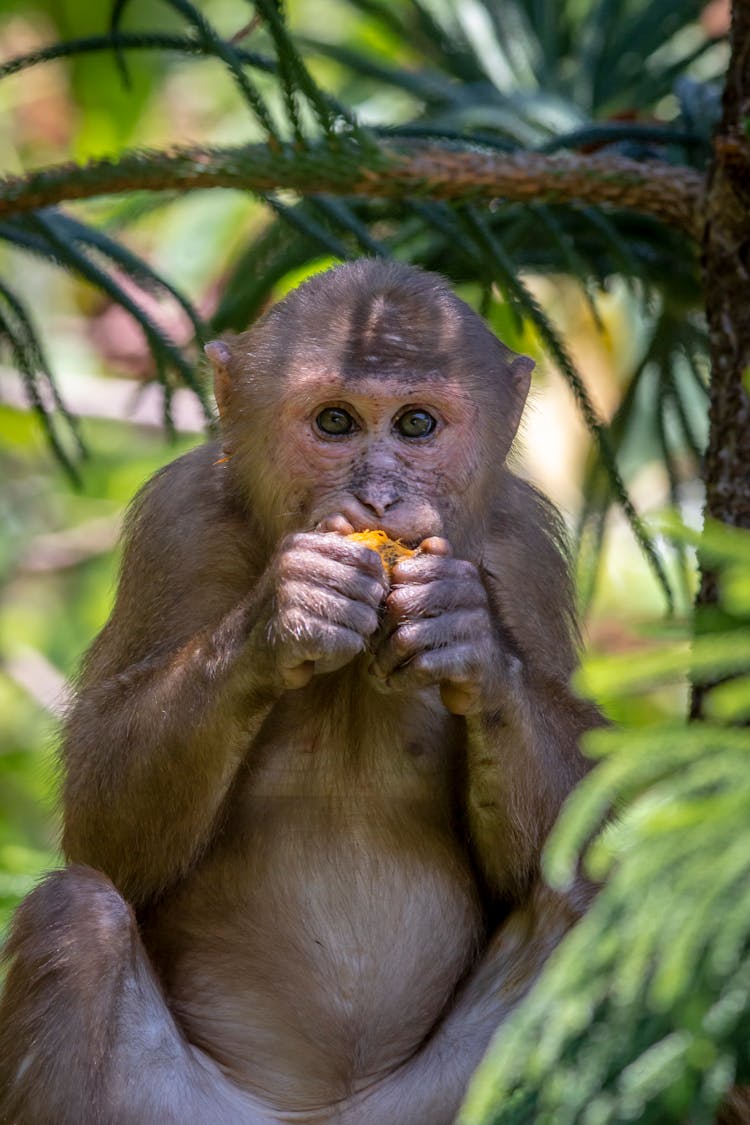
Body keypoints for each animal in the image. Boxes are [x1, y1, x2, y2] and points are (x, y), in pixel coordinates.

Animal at [0, 258, 598, 1120]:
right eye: (336, 422)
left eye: (417, 424)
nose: (379, 497)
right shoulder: (179, 522)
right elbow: (104, 823)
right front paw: (290, 610)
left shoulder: (525, 548)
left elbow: (565, 835)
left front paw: (467, 633)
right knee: (75, 919)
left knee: (584, 903)